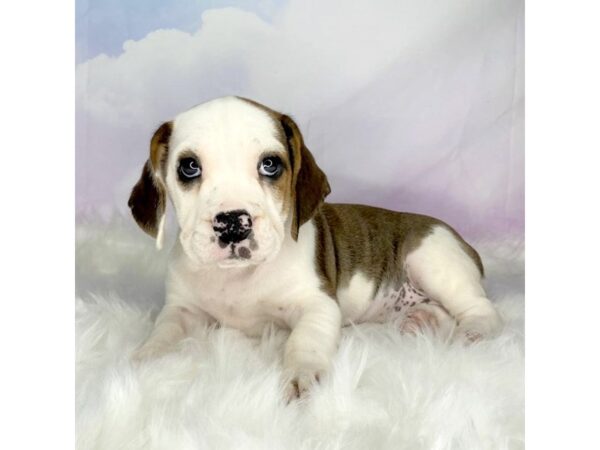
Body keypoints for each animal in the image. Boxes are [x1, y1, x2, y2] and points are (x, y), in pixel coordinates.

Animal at [129, 96, 504, 400]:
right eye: (189, 167)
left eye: (270, 165)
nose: (233, 222)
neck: (239, 277)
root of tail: (462, 241)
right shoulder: (181, 310)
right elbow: (163, 331)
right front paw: (144, 359)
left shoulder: (317, 306)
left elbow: (304, 341)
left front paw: (302, 375)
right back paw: (420, 320)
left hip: (432, 260)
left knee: (480, 308)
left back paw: (472, 333)